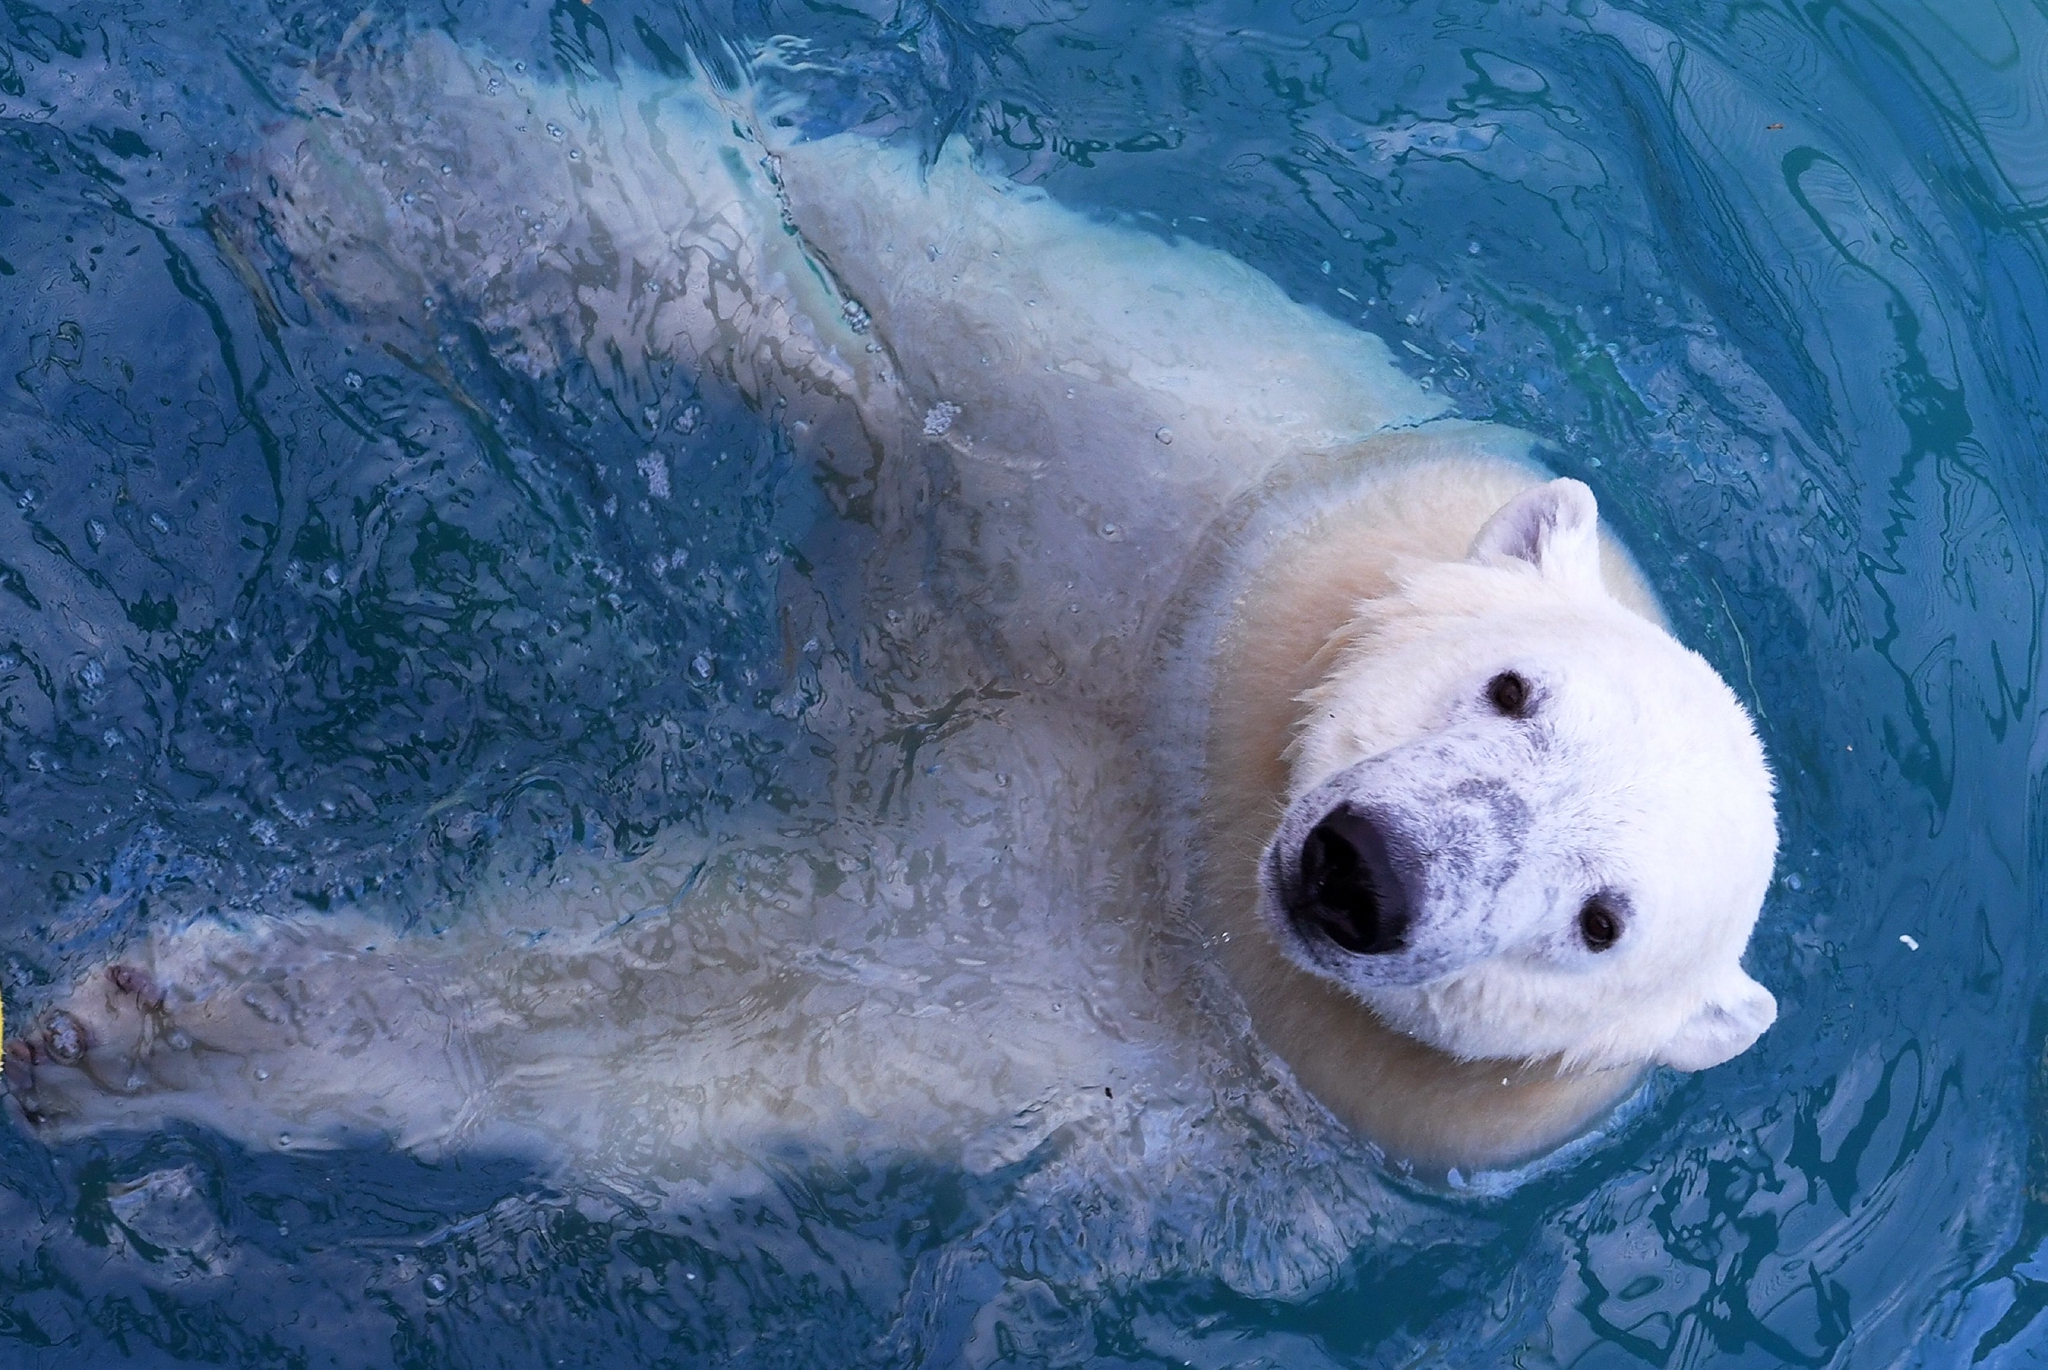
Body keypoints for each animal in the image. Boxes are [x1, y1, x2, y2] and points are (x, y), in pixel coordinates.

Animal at [4, 34, 1777, 1176]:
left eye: (1600, 921)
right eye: (1512, 687)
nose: (1370, 870)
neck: (1186, 801)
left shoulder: (1115, 990)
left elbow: (726, 1006)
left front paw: (150, 1027)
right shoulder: (1196, 493)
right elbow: (885, 313)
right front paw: (397, 187)